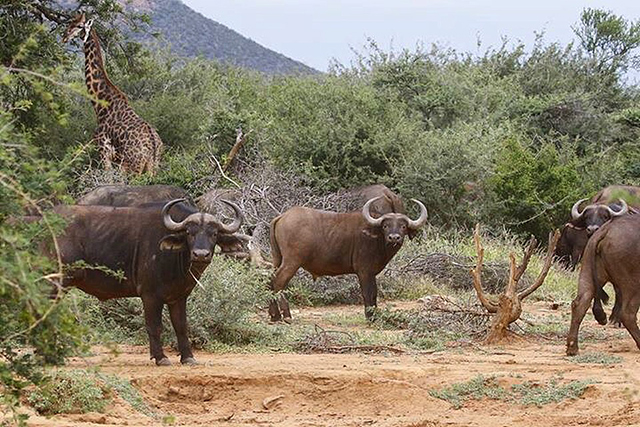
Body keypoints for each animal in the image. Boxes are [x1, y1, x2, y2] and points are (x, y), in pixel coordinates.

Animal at [52, 199, 242, 366]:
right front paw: (160, 358)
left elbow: (181, 326)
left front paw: (188, 357)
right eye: (189, 233)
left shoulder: (178, 297)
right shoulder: (150, 296)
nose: (200, 254)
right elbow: (154, 326)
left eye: (214, 234)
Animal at [62, 14, 162, 176]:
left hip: (132, 166)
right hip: (152, 167)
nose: (64, 36)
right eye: (70, 22)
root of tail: (153, 145)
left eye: (79, 26)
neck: (100, 105)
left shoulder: (104, 150)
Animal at [268, 197, 428, 320]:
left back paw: (274, 316)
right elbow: (369, 293)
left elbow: (374, 294)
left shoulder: (371, 273)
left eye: (403, 226)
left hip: (277, 259)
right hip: (292, 262)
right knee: (279, 282)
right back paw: (286, 316)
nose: (394, 238)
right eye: (385, 226)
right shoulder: (364, 272)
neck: (375, 238)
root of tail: (282, 217)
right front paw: (370, 317)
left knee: (271, 280)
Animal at [568, 216, 640, 356]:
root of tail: (606, 229)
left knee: (579, 303)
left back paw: (572, 348)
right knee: (627, 314)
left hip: (587, 271)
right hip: (634, 283)